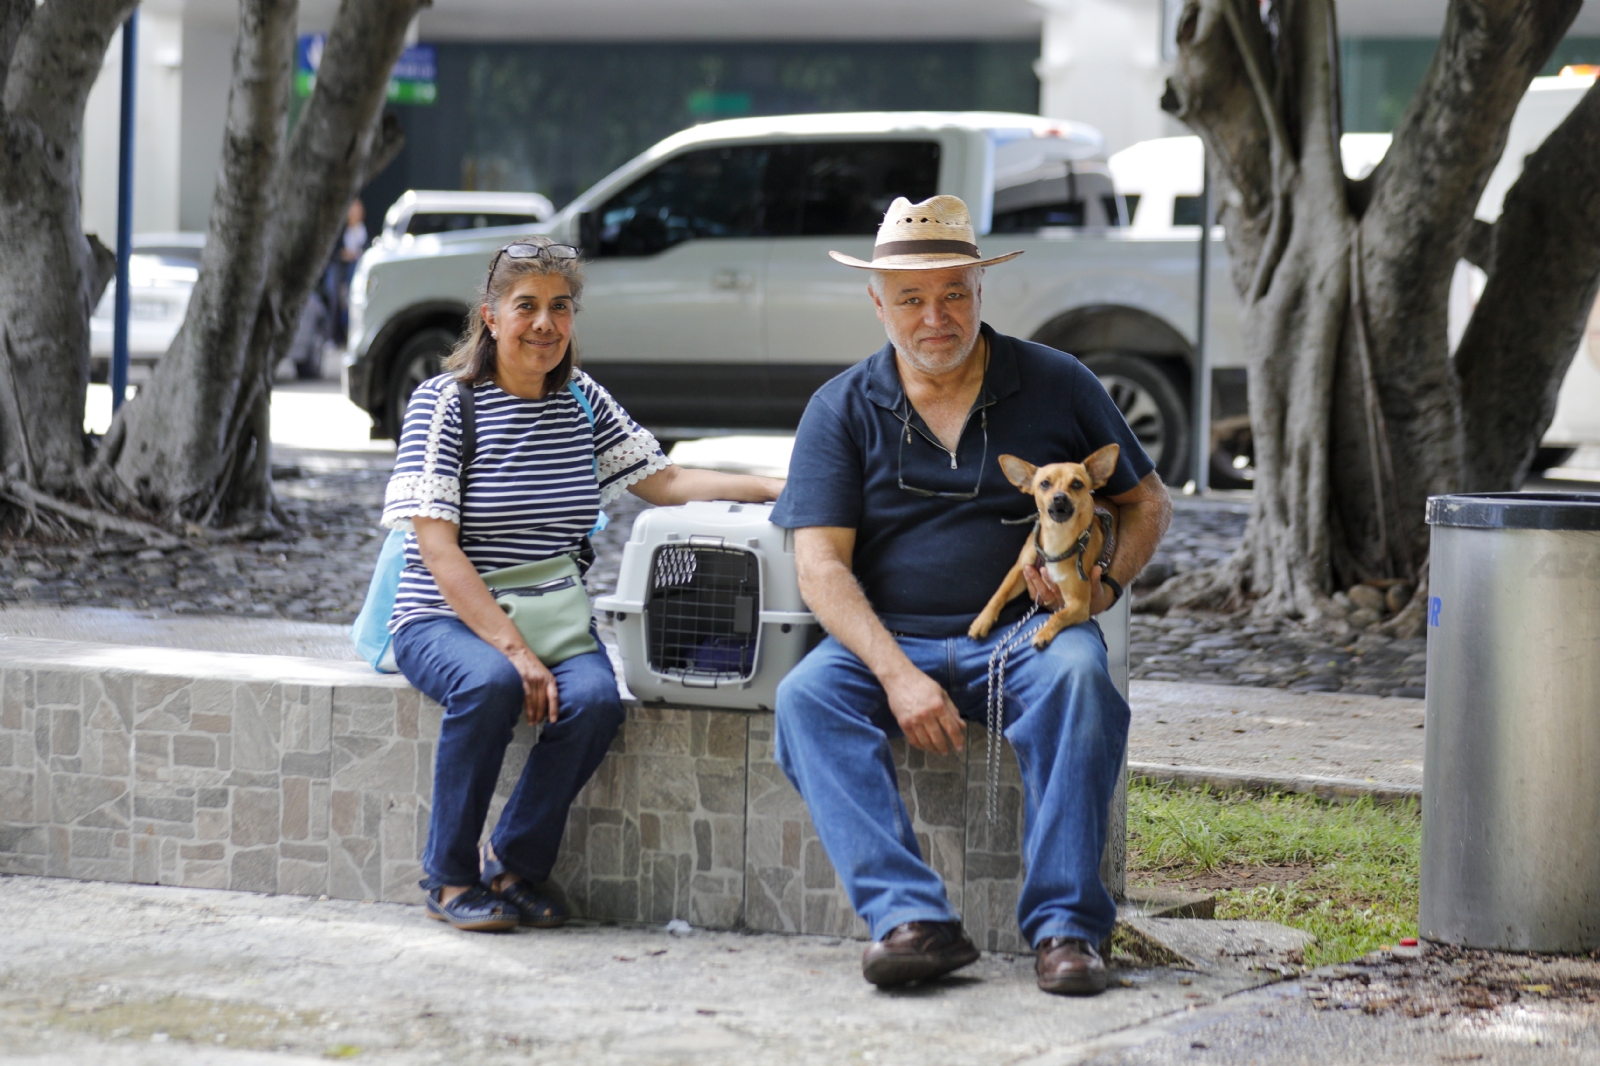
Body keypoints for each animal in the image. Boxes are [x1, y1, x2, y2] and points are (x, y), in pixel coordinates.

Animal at [966, 441, 1120, 646]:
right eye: (1045, 484)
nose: (1060, 497)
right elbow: (999, 594)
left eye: (1077, 484)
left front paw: (1043, 634)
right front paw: (982, 621)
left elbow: (1058, 615)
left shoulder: (1079, 605)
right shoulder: (1020, 570)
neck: (1057, 536)